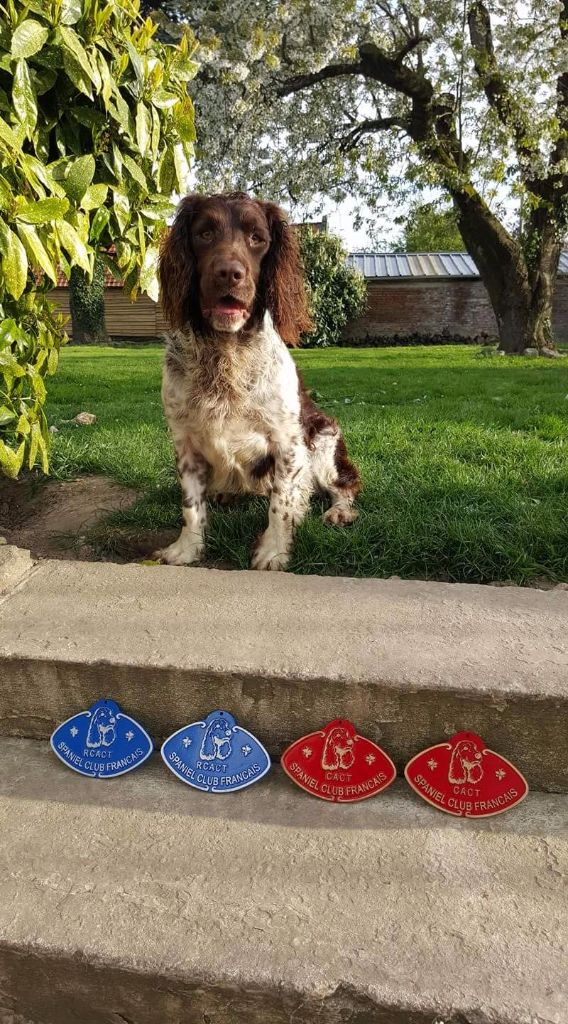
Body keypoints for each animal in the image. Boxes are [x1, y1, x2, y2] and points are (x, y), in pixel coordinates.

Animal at [156, 191, 360, 569]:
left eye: (257, 238)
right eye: (204, 234)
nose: (229, 274)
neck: (225, 352)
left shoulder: (288, 442)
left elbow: (280, 505)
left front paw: (273, 551)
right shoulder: (185, 443)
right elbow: (191, 506)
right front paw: (187, 548)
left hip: (322, 438)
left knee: (342, 485)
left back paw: (338, 511)